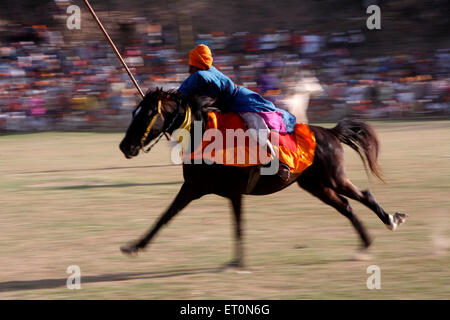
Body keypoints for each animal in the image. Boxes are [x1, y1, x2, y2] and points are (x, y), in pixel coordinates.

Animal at [119, 87, 408, 264]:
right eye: (133, 112)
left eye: (147, 113)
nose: (125, 147)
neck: (206, 135)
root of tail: (330, 132)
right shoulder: (192, 187)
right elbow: (165, 216)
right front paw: (135, 246)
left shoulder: (233, 192)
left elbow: (238, 226)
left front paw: (237, 262)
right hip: (316, 186)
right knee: (346, 206)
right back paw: (365, 244)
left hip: (333, 179)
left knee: (363, 195)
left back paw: (390, 220)